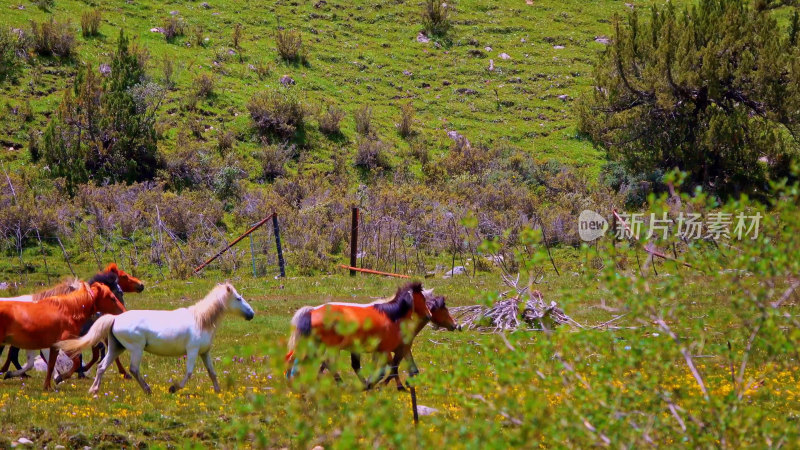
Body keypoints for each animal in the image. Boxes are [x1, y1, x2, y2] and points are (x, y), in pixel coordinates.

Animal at [57, 284, 253, 394]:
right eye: (238, 298)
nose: (251, 314)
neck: (200, 320)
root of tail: (115, 319)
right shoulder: (192, 351)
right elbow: (189, 373)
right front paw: (173, 388)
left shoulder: (205, 353)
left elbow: (212, 372)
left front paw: (218, 391)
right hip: (136, 349)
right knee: (134, 369)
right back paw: (147, 390)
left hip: (116, 348)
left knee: (101, 367)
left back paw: (94, 390)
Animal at [282, 282, 432, 386]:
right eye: (423, 299)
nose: (429, 315)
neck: (390, 315)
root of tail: (312, 310)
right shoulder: (386, 349)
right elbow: (388, 368)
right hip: (327, 346)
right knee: (324, 363)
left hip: (315, 344)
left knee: (294, 359)